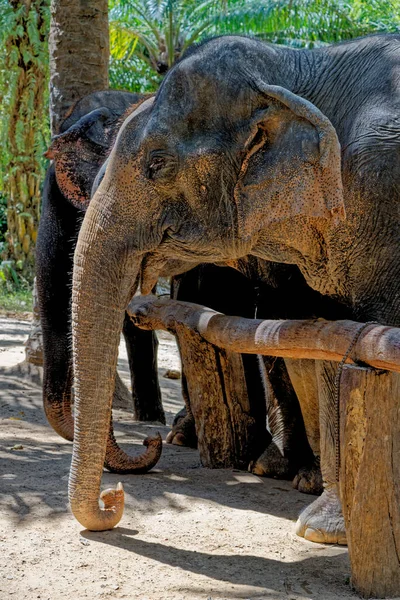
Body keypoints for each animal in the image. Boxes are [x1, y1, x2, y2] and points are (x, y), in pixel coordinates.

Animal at [69, 31, 400, 540]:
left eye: (157, 164)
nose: (114, 499)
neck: (297, 65)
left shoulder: (380, 197)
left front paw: (321, 529)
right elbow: (333, 340)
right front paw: (322, 526)